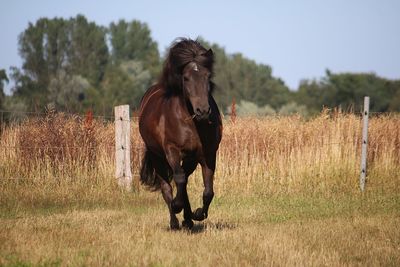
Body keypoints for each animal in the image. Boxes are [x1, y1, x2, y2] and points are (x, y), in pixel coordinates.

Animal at [139, 38, 223, 230]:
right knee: (168, 186)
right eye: (186, 78)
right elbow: (178, 180)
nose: (202, 111)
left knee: (184, 182)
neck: (192, 123)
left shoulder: (208, 154)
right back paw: (175, 221)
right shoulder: (172, 150)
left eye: (208, 76)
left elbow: (208, 191)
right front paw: (178, 207)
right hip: (157, 157)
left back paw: (188, 219)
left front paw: (198, 214)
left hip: (190, 159)